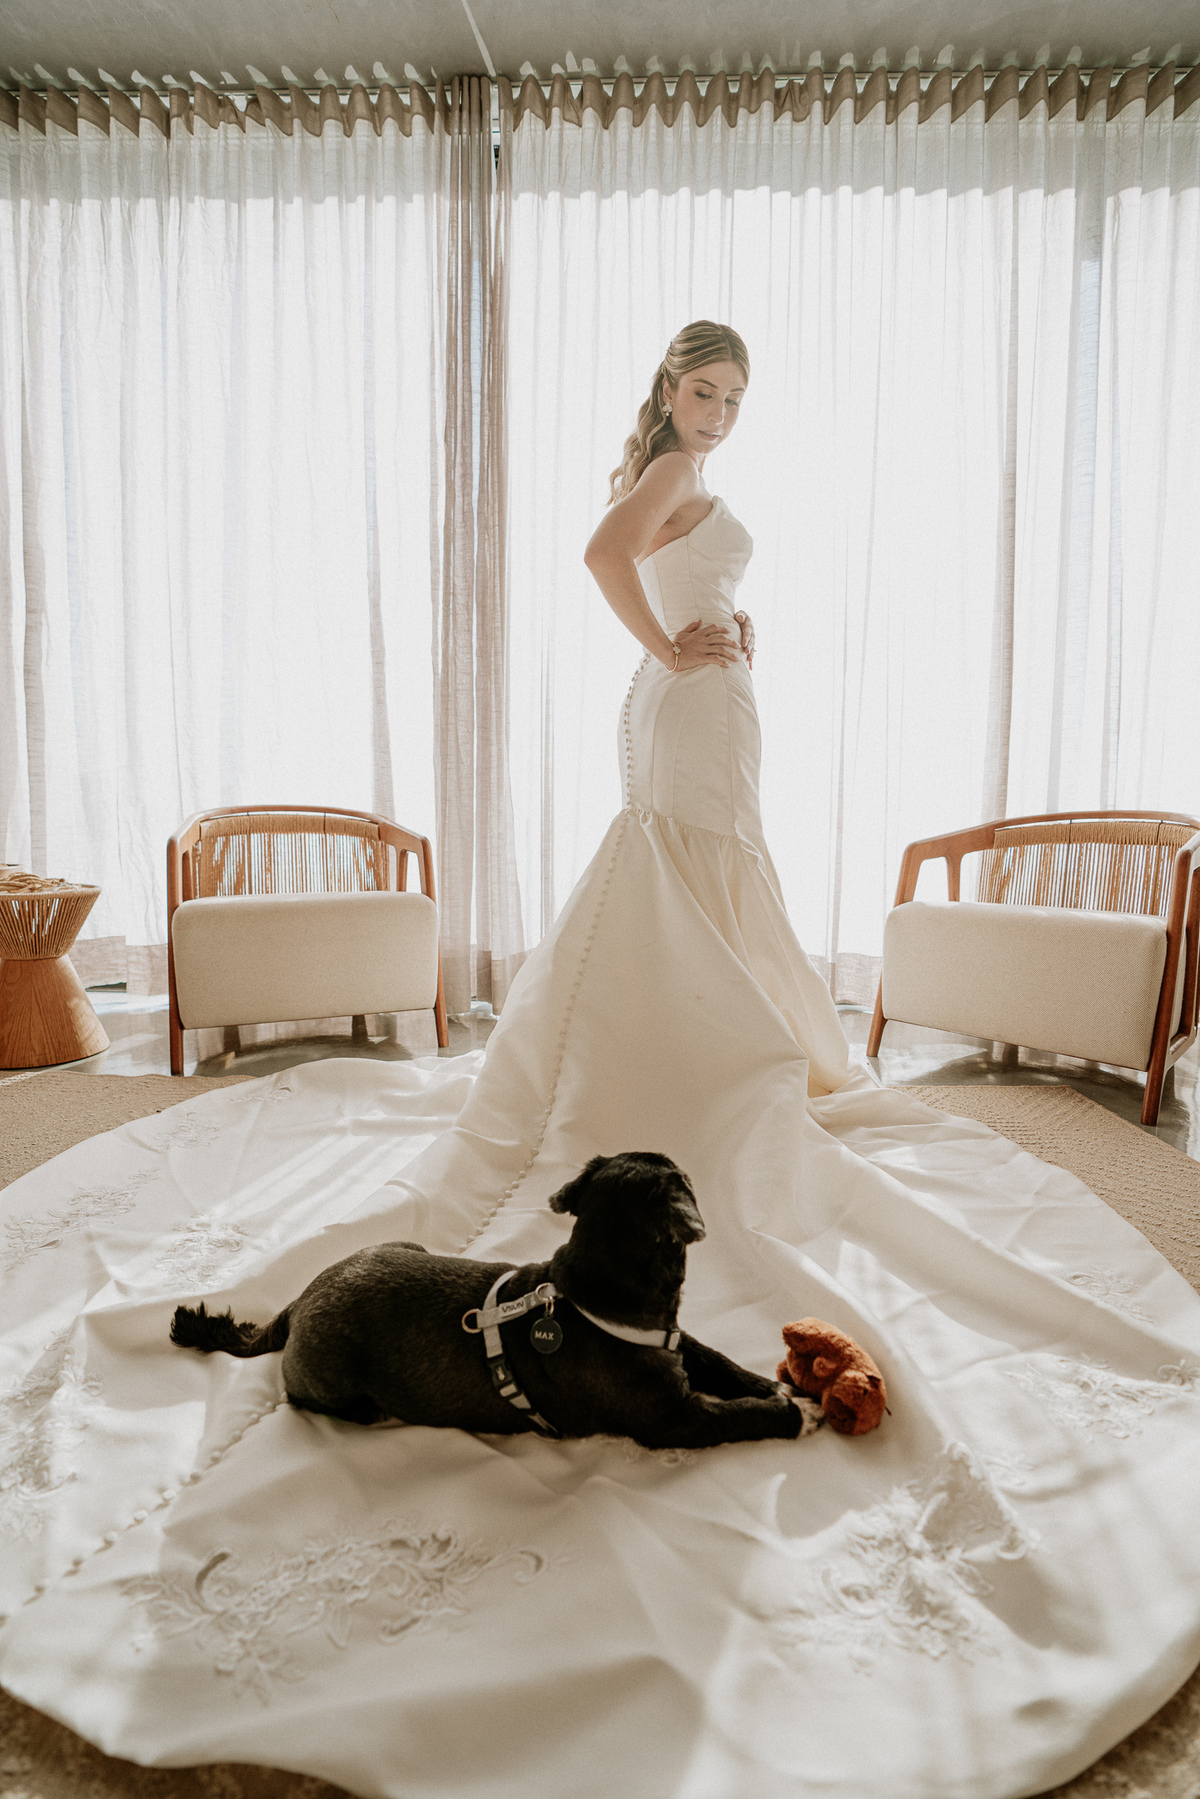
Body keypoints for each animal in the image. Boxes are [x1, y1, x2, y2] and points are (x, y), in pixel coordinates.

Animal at [170, 1151, 817, 1450]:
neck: (592, 1297)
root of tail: (300, 1303)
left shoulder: (681, 1345)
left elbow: (723, 1364)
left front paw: (778, 1384)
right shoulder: (673, 1419)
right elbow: (739, 1415)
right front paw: (796, 1413)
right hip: (331, 1382)